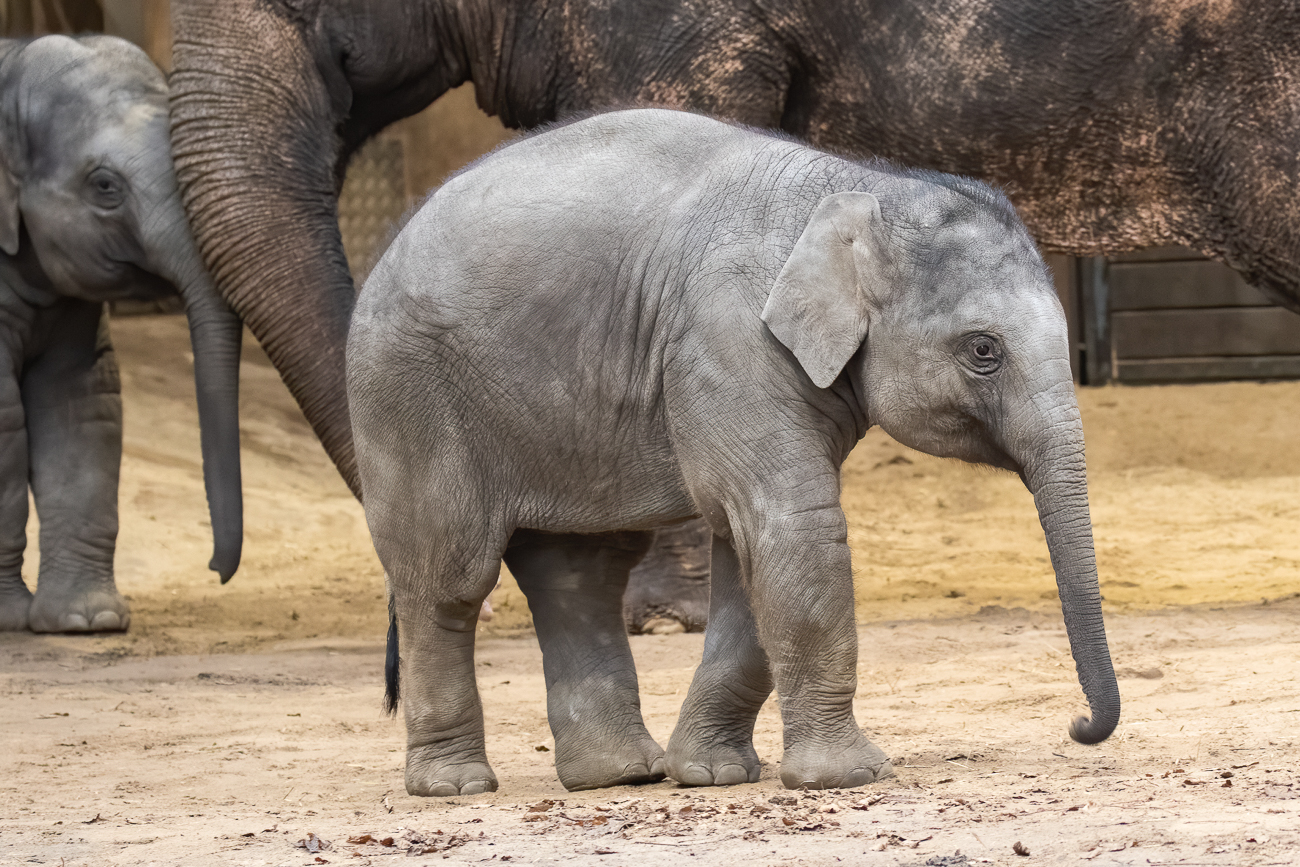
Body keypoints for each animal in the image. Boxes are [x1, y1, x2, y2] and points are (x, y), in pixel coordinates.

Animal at [351, 110, 1123, 800]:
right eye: (983, 351)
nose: (1079, 724)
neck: (862, 185)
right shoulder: (728, 339)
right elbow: (792, 524)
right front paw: (849, 777)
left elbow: (750, 549)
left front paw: (711, 775)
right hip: (408, 394)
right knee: (448, 575)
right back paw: (456, 785)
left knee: (582, 569)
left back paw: (621, 775)